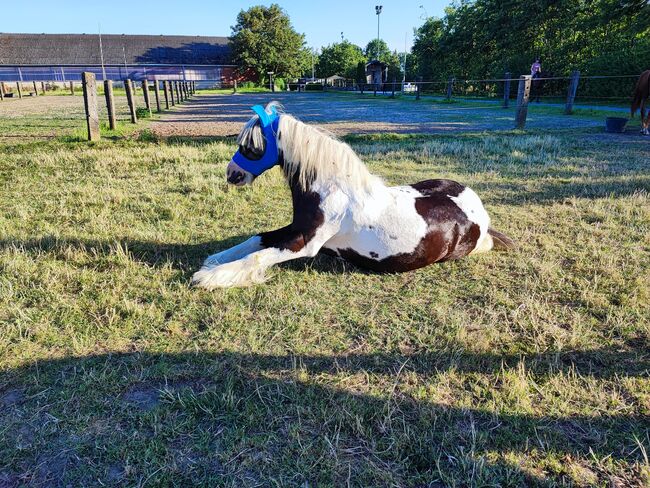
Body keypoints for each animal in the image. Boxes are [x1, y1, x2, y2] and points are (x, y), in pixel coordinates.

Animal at [190, 101, 512, 288]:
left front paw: (209, 278)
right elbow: (255, 239)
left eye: (252, 145)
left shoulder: (304, 242)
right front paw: (214, 260)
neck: (331, 190)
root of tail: (476, 207)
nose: (232, 174)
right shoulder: (294, 229)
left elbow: (257, 258)